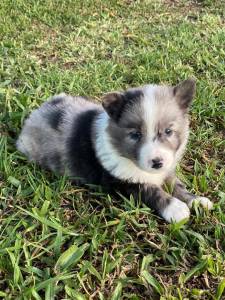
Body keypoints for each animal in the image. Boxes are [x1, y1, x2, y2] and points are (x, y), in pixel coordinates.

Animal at [16, 79, 213, 223]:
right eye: (135, 134)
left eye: (169, 131)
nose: (157, 162)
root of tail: (36, 113)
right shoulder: (120, 182)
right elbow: (150, 192)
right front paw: (176, 209)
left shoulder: (166, 170)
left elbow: (177, 185)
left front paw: (197, 200)